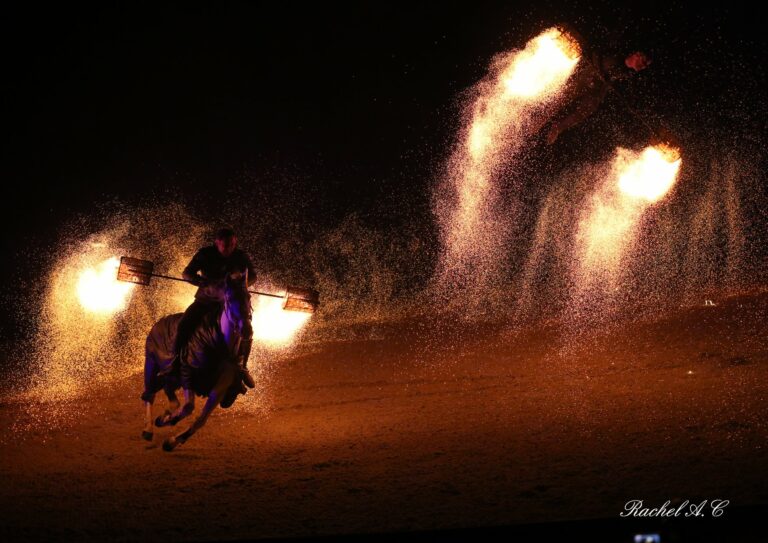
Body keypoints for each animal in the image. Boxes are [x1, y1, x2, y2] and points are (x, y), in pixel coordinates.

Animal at [140, 270, 254, 452]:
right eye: (230, 299)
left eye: (249, 297)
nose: (247, 330)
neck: (219, 347)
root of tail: (160, 322)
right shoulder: (188, 375)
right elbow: (188, 407)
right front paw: (168, 421)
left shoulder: (219, 390)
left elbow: (201, 419)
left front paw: (171, 441)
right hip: (151, 364)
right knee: (149, 394)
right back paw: (149, 429)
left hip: (171, 378)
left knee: (169, 394)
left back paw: (165, 415)